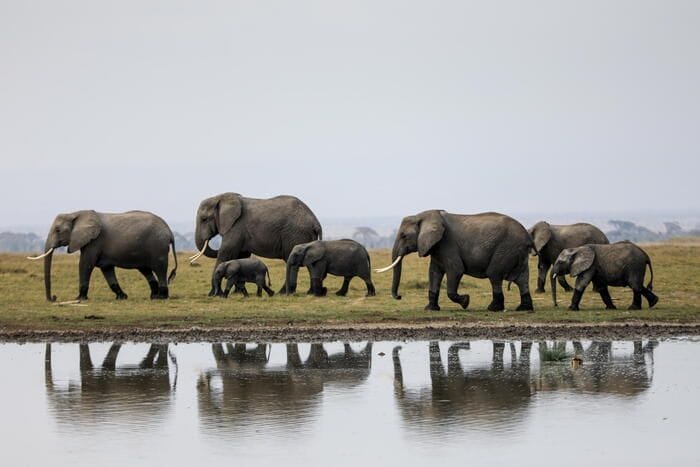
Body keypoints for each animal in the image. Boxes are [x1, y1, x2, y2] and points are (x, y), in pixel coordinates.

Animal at [28, 210, 177, 301]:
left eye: (58, 230)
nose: (54, 297)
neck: (76, 213)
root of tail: (170, 231)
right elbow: (107, 269)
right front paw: (122, 297)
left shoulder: (94, 241)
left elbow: (85, 264)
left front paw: (79, 299)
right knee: (146, 270)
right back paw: (153, 296)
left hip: (158, 246)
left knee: (160, 268)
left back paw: (162, 297)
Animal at [191, 192, 322, 295]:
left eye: (204, 219)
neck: (221, 198)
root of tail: (316, 223)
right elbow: (242, 255)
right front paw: (237, 293)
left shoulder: (236, 227)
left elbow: (226, 252)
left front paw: (214, 294)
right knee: (310, 264)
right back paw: (310, 292)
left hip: (295, 234)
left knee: (294, 263)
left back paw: (283, 293)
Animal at [376, 210, 534, 311]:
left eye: (403, 235)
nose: (399, 296)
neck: (423, 216)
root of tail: (527, 236)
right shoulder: (437, 247)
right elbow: (434, 273)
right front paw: (430, 309)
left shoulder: (447, 244)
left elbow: (456, 270)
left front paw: (466, 302)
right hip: (517, 251)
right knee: (522, 279)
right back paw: (523, 309)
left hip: (506, 247)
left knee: (494, 274)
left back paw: (493, 309)